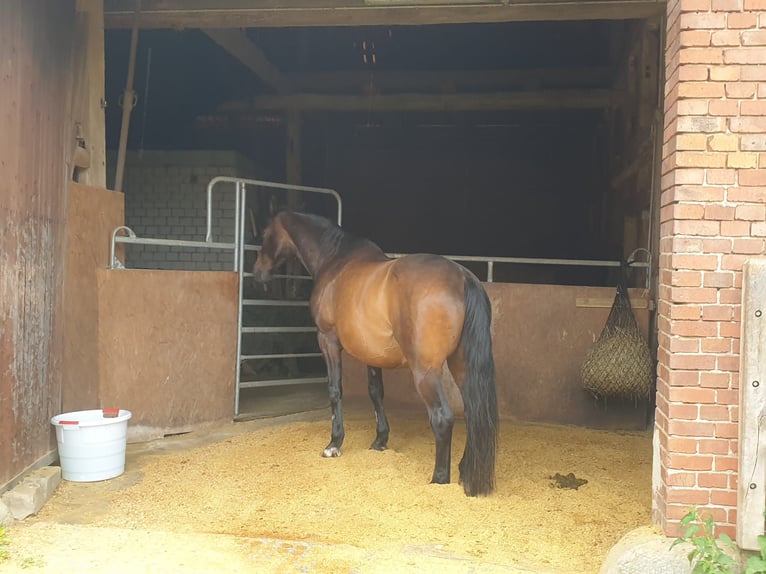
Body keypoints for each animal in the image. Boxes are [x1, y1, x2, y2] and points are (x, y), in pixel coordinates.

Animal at [255, 214, 500, 498]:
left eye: (265, 234)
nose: (257, 273)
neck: (335, 260)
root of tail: (462, 278)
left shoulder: (327, 340)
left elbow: (335, 390)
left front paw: (334, 443)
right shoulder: (370, 353)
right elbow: (376, 392)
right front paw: (380, 440)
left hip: (425, 372)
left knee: (443, 418)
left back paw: (439, 480)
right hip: (461, 366)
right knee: (473, 415)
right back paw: (464, 471)